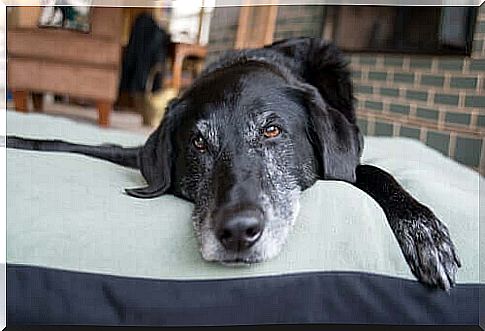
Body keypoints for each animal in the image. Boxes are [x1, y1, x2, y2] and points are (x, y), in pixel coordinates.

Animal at [8, 37, 462, 290]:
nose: (239, 233)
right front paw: (16, 139)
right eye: (197, 143)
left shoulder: (351, 164)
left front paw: (424, 232)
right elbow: (67, 140)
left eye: (272, 131)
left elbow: (374, 173)